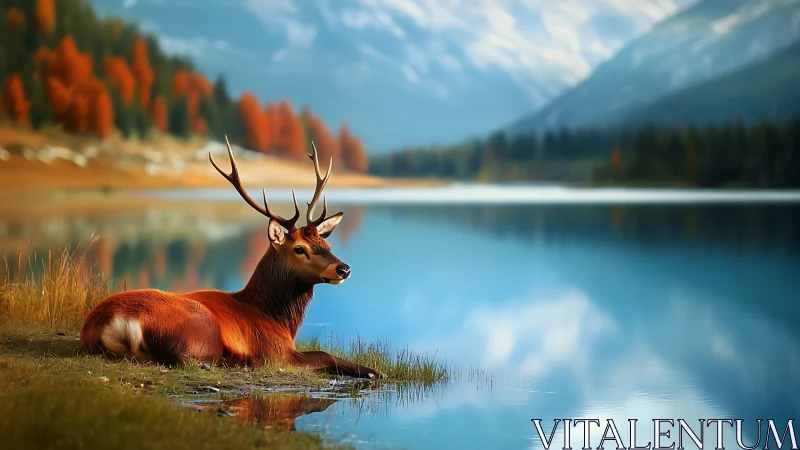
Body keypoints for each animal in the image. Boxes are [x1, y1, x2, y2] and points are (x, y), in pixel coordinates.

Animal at [80, 137, 383, 379]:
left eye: (325, 242)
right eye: (299, 248)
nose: (343, 269)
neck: (275, 318)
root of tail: (109, 324)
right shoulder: (278, 352)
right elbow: (324, 354)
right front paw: (374, 371)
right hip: (201, 334)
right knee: (192, 361)